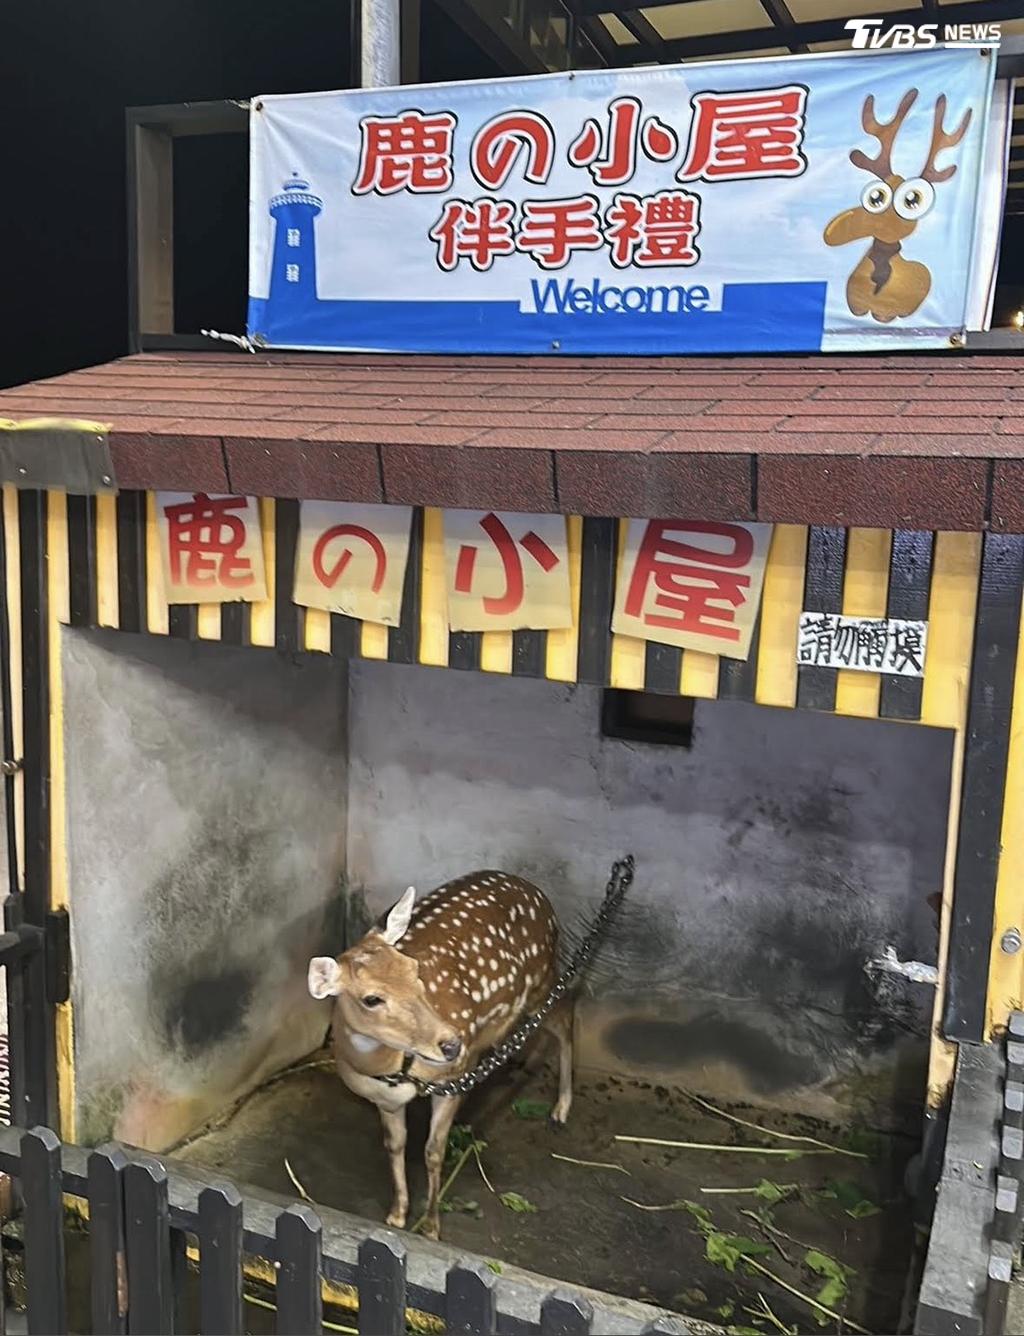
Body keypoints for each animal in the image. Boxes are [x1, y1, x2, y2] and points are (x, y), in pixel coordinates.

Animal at [307, 871, 572, 1240]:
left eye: (413, 968)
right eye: (371, 999)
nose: (450, 1044)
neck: (394, 1068)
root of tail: (539, 894)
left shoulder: (453, 1079)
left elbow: (434, 1151)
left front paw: (431, 1226)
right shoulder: (385, 1099)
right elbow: (395, 1144)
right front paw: (397, 1214)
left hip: (541, 979)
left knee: (565, 1011)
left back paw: (560, 1109)